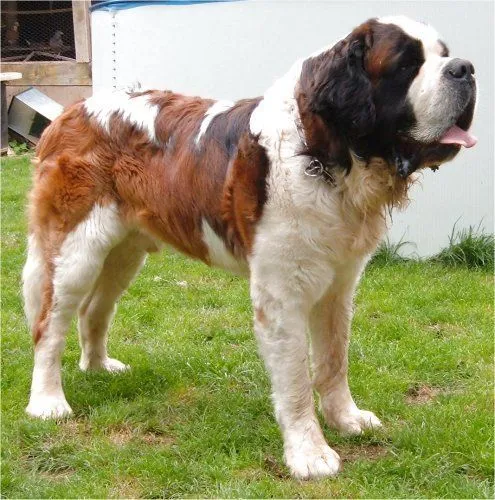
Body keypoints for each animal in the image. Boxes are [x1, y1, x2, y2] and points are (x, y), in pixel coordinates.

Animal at [22, 16, 476, 480]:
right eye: (407, 65)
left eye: (444, 55)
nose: (465, 68)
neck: (322, 153)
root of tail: (71, 112)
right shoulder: (282, 294)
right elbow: (296, 379)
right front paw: (309, 454)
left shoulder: (339, 285)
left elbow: (334, 360)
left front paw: (346, 419)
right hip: (74, 251)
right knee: (48, 325)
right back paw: (48, 402)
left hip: (125, 252)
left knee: (95, 310)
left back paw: (99, 368)